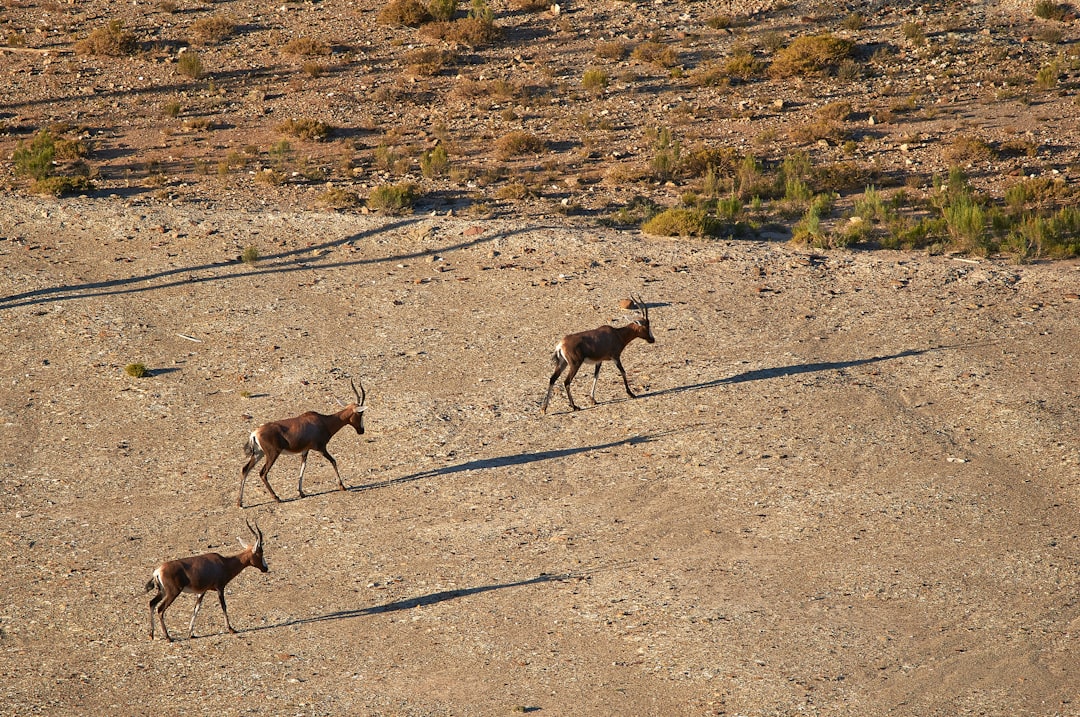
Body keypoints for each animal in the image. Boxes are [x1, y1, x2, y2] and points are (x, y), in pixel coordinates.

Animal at [239, 377, 367, 507]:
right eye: (361, 413)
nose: (361, 431)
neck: (323, 421)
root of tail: (255, 433)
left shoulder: (305, 450)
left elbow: (303, 468)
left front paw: (301, 493)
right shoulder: (321, 449)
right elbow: (333, 461)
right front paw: (342, 486)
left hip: (259, 453)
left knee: (245, 469)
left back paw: (240, 502)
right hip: (272, 454)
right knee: (263, 473)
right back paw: (276, 498)